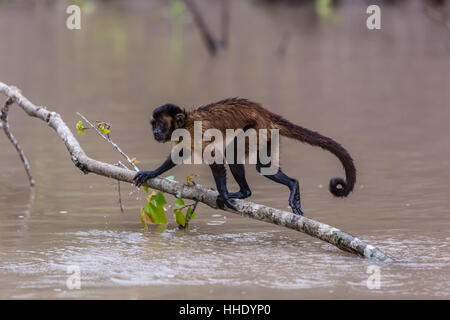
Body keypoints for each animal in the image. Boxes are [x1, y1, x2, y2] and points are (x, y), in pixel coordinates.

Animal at [132, 98, 356, 215]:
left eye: (161, 124)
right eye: (154, 125)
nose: (155, 132)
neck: (186, 122)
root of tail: (267, 115)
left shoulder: (194, 132)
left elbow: (215, 159)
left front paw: (223, 195)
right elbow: (180, 154)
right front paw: (152, 172)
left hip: (258, 130)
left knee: (233, 153)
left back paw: (243, 193)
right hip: (268, 135)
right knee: (263, 167)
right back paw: (292, 184)